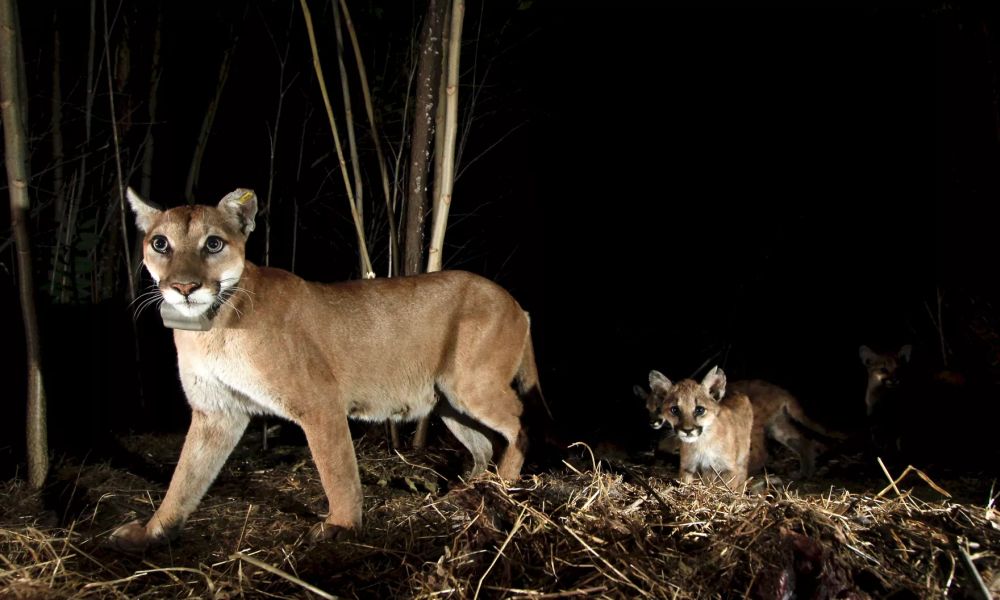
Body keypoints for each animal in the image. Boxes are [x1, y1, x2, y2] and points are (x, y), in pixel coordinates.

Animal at [112, 189, 544, 552]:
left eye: (213, 243)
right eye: (160, 243)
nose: (184, 287)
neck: (211, 326)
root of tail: (516, 302)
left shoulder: (320, 403)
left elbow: (336, 469)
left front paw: (342, 526)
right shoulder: (217, 412)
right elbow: (185, 478)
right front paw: (152, 531)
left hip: (471, 385)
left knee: (521, 422)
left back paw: (505, 483)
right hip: (448, 401)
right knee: (483, 444)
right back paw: (468, 491)